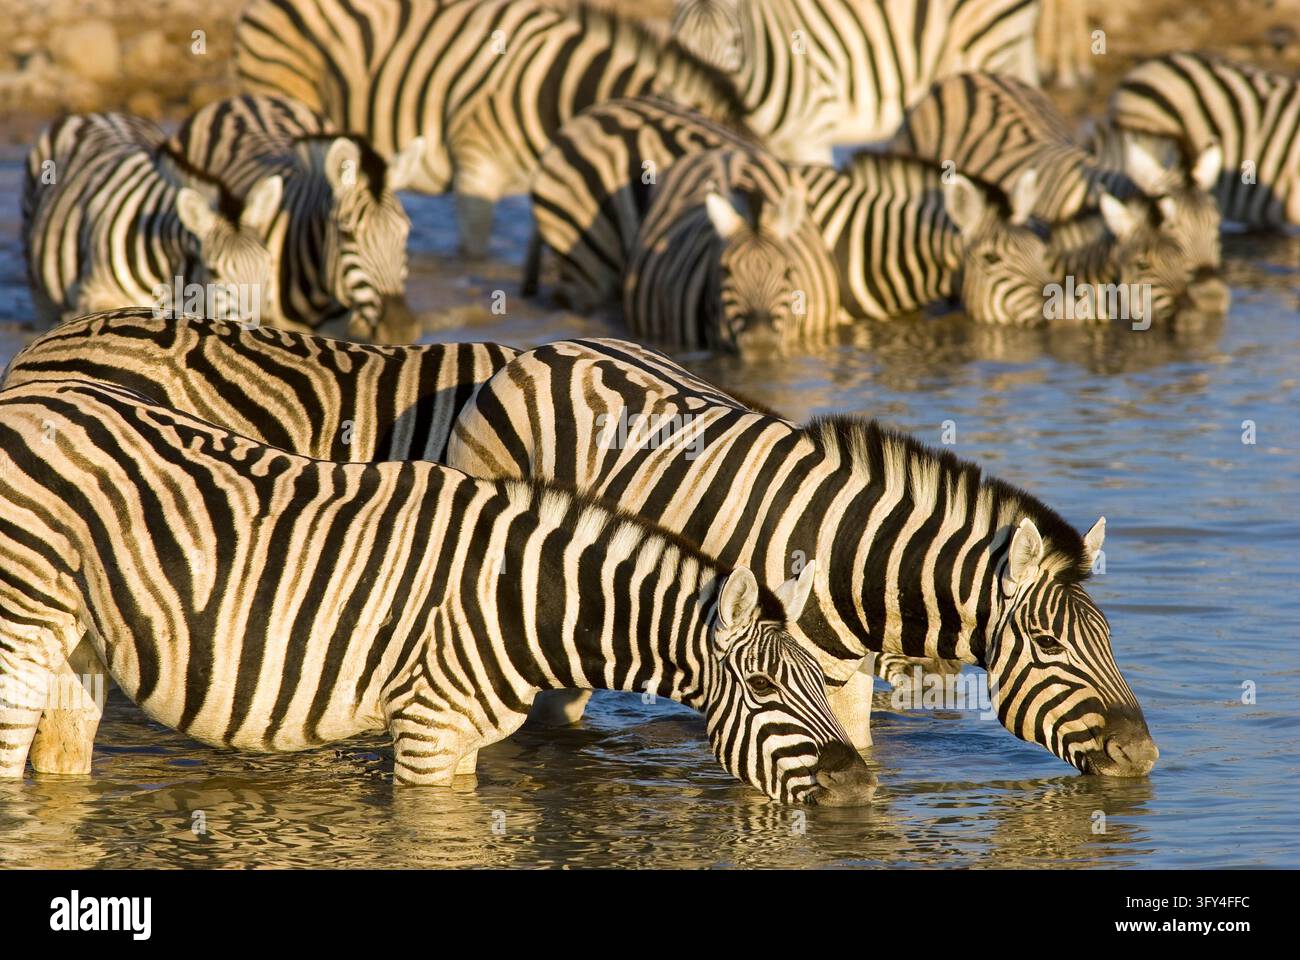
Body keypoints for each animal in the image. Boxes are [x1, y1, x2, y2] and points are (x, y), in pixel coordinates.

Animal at [0, 378, 876, 804]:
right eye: (763, 688)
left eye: (823, 682)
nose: (859, 787)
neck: (523, 600)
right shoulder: (425, 729)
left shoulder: (461, 742)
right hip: (21, 627)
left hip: (80, 642)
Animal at [22, 113, 283, 327]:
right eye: (214, 271)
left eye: (268, 265)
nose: (265, 325)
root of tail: (95, 114)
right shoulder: (98, 297)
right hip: (40, 289)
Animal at [448, 338, 1160, 776]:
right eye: (1049, 644)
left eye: (1107, 637)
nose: (1146, 759)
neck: (846, 562)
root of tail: (546, 351)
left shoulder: (845, 679)